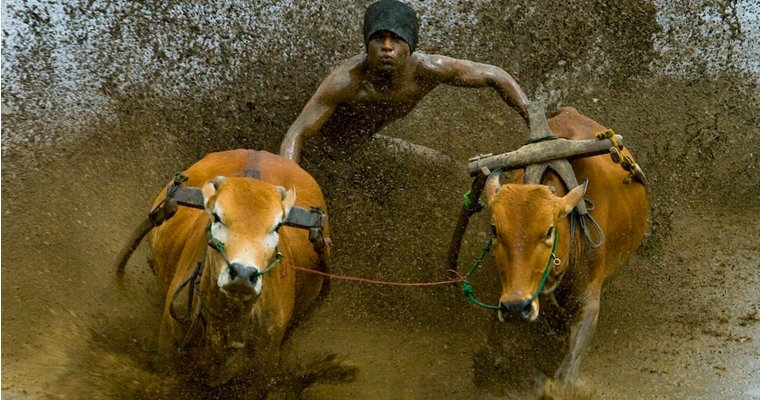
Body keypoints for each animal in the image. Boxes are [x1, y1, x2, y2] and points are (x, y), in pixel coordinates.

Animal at [147, 148, 328, 390]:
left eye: (277, 226)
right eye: (216, 216)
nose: (243, 274)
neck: (227, 324)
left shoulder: (263, 369)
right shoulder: (168, 356)